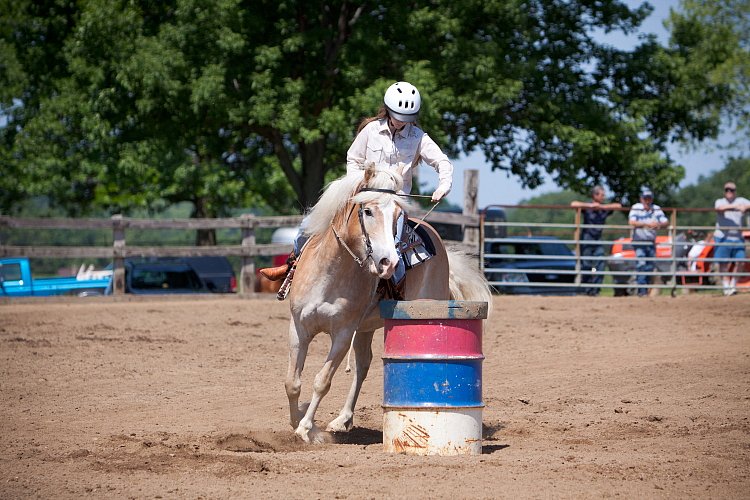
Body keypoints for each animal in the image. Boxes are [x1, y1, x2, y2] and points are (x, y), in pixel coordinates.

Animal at [284, 163, 490, 442]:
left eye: (397, 215)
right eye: (367, 211)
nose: (388, 262)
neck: (329, 274)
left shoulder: (343, 334)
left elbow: (322, 381)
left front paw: (307, 428)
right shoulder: (298, 328)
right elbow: (293, 383)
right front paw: (297, 420)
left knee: (361, 367)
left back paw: (341, 420)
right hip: (364, 328)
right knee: (363, 365)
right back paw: (343, 419)